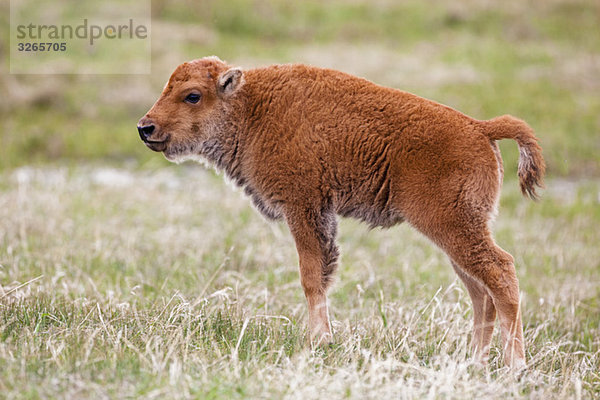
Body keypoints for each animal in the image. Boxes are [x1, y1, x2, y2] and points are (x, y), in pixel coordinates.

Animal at [139, 56, 544, 368]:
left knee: (501, 274)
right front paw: (323, 339)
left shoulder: (302, 207)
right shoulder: (320, 216)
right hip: (456, 234)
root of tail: (480, 128)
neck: (250, 107)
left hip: (454, 227)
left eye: (192, 95)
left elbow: (311, 276)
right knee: (480, 292)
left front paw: (318, 342)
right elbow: (322, 273)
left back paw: (514, 366)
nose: (146, 127)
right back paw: (472, 362)